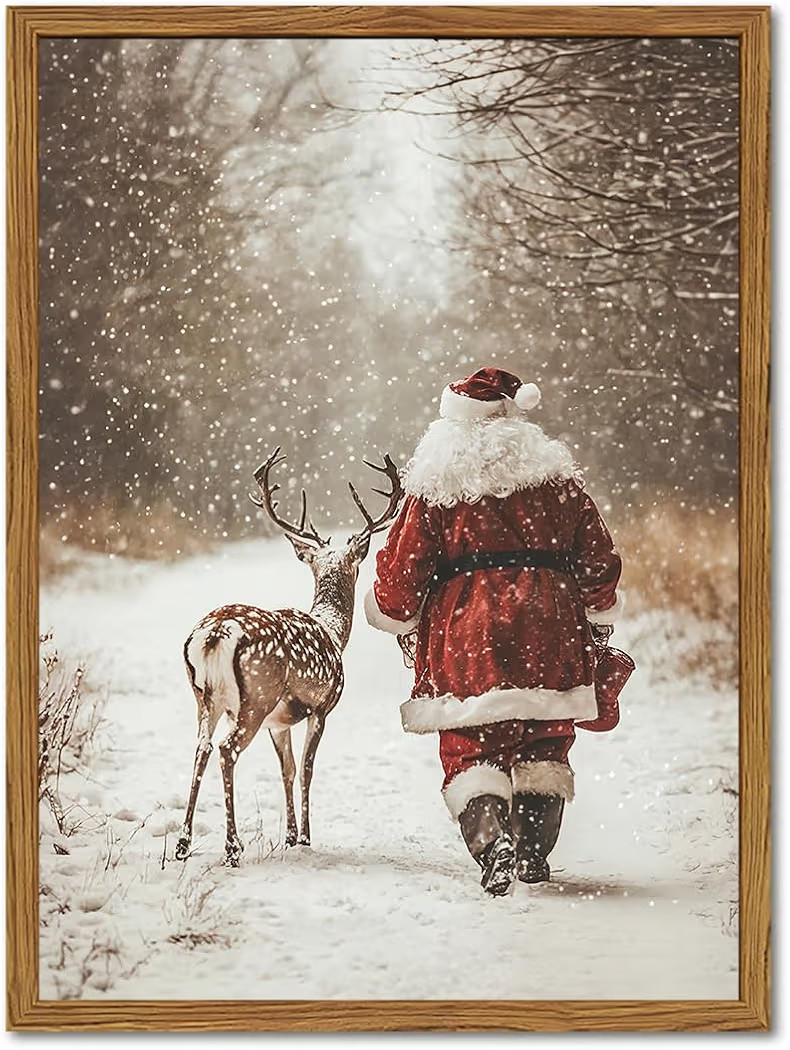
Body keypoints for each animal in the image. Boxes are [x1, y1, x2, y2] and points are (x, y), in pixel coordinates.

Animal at [175, 447, 403, 867]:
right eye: (358, 565)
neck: (333, 631)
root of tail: (215, 634)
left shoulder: (278, 722)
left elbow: (287, 768)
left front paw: (292, 834)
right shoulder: (322, 706)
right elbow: (307, 769)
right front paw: (307, 837)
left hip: (204, 697)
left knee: (201, 747)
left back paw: (183, 844)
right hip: (256, 696)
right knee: (227, 750)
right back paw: (232, 847)